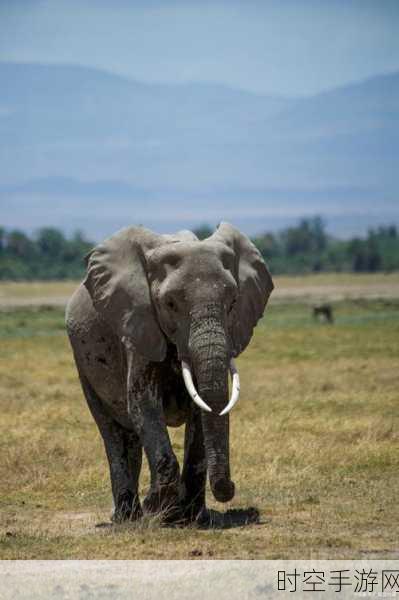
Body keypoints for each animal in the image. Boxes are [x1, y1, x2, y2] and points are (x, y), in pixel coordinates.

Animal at [65, 223, 274, 524]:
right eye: (170, 304)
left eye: (233, 302)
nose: (231, 488)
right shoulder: (139, 324)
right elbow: (143, 404)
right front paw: (159, 510)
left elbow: (201, 410)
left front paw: (191, 518)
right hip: (82, 362)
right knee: (113, 432)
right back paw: (127, 517)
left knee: (130, 437)